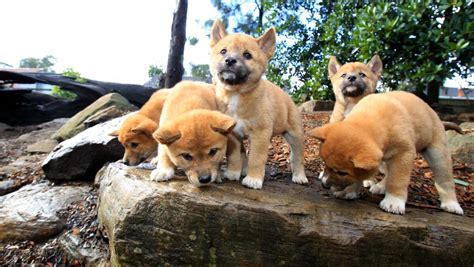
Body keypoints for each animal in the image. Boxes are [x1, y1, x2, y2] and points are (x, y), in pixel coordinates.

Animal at [210, 19, 308, 191]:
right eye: (223, 51)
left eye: (247, 55)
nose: (230, 60)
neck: (237, 93)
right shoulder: (233, 135)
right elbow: (234, 156)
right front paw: (233, 172)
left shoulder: (260, 135)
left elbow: (256, 158)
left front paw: (253, 179)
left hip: (295, 135)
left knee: (297, 157)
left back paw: (299, 176)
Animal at [308, 91, 462, 216]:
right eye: (324, 163)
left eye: (342, 173)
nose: (324, 185)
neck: (371, 119)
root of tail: (433, 113)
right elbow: (361, 175)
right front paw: (349, 191)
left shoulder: (403, 154)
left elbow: (397, 179)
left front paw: (393, 201)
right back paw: (381, 187)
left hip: (437, 154)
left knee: (445, 179)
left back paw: (451, 204)